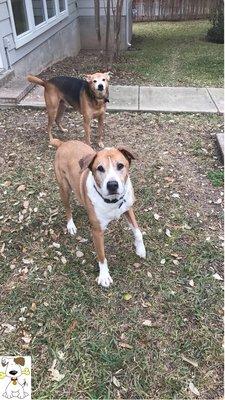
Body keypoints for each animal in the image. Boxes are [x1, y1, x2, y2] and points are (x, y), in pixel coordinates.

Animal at [53, 139, 147, 286]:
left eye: (120, 165)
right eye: (100, 168)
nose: (112, 185)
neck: (112, 201)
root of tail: (63, 143)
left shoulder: (128, 208)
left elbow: (138, 232)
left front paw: (140, 249)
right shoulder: (97, 231)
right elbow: (101, 256)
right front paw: (104, 276)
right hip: (64, 188)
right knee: (67, 208)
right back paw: (71, 225)